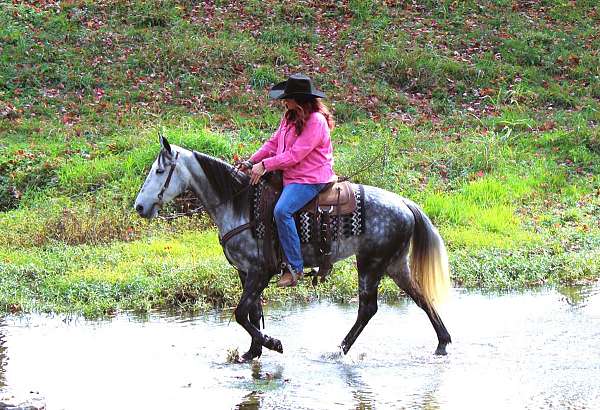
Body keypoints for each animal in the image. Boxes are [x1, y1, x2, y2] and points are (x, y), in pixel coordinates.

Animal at [135, 138, 450, 362]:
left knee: (368, 309)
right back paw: (442, 343)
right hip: (395, 264)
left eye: (160, 171)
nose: (139, 207)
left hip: (371, 264)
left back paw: (338, 350)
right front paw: (252, 352)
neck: (239, 205)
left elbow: (240, 312)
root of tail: (404, 203)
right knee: (420, 297)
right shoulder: (245, 272)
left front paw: (272, 344)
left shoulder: (261, 271)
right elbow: (252, 312)